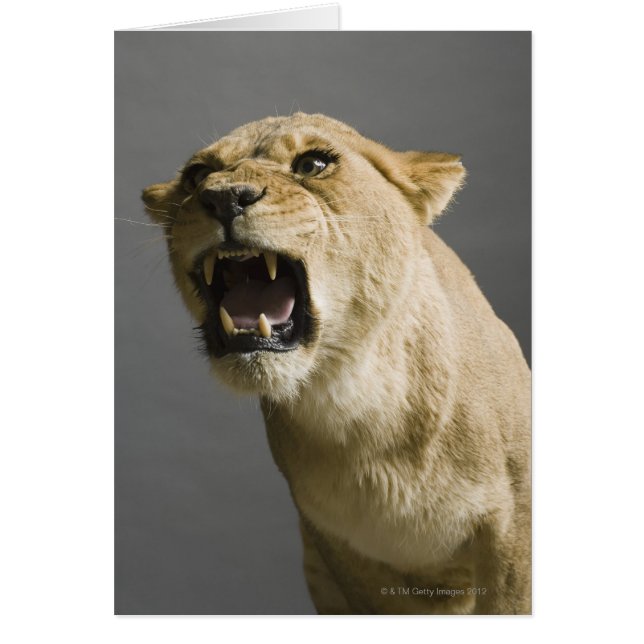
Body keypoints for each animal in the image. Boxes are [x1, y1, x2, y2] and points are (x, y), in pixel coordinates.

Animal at [142, 113, 531, 615]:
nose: (224, 197)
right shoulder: (341, 550)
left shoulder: (514, 531)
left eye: (313, 164)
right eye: (196, 176)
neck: (355, 396)